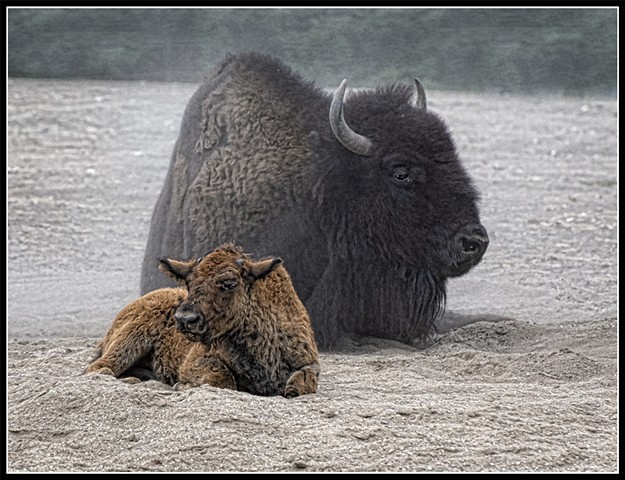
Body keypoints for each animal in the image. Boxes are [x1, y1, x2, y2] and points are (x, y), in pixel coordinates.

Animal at [85, 244, 320, 398]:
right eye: (189, 282)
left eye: (229, 282)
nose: (184, 319)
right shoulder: (196, 361)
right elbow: (223, 379)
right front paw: (182, 386)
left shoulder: (309, 363)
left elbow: (303, 383)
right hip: (131, 340)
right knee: (99, 368)